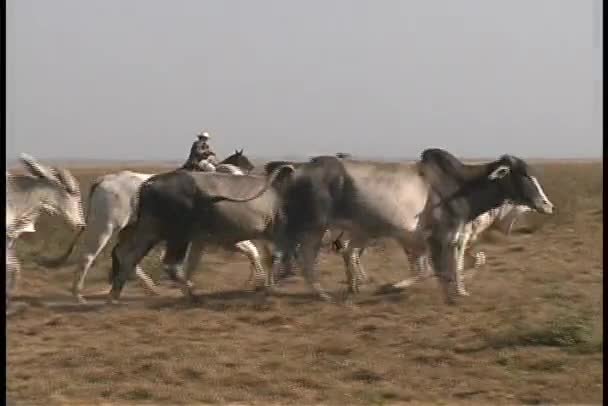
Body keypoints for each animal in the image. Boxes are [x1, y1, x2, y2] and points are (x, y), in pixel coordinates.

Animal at [240, 151, 552, 302]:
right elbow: (438, 270)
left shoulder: (450, 236)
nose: (546, 204)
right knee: (297, 258)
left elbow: (451, 266)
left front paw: (459, 291)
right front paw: (445, 293)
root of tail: (298, 168)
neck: (459, 186)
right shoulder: (436, 236)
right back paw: (317, 293)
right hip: (313, 226)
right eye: (524, 175)